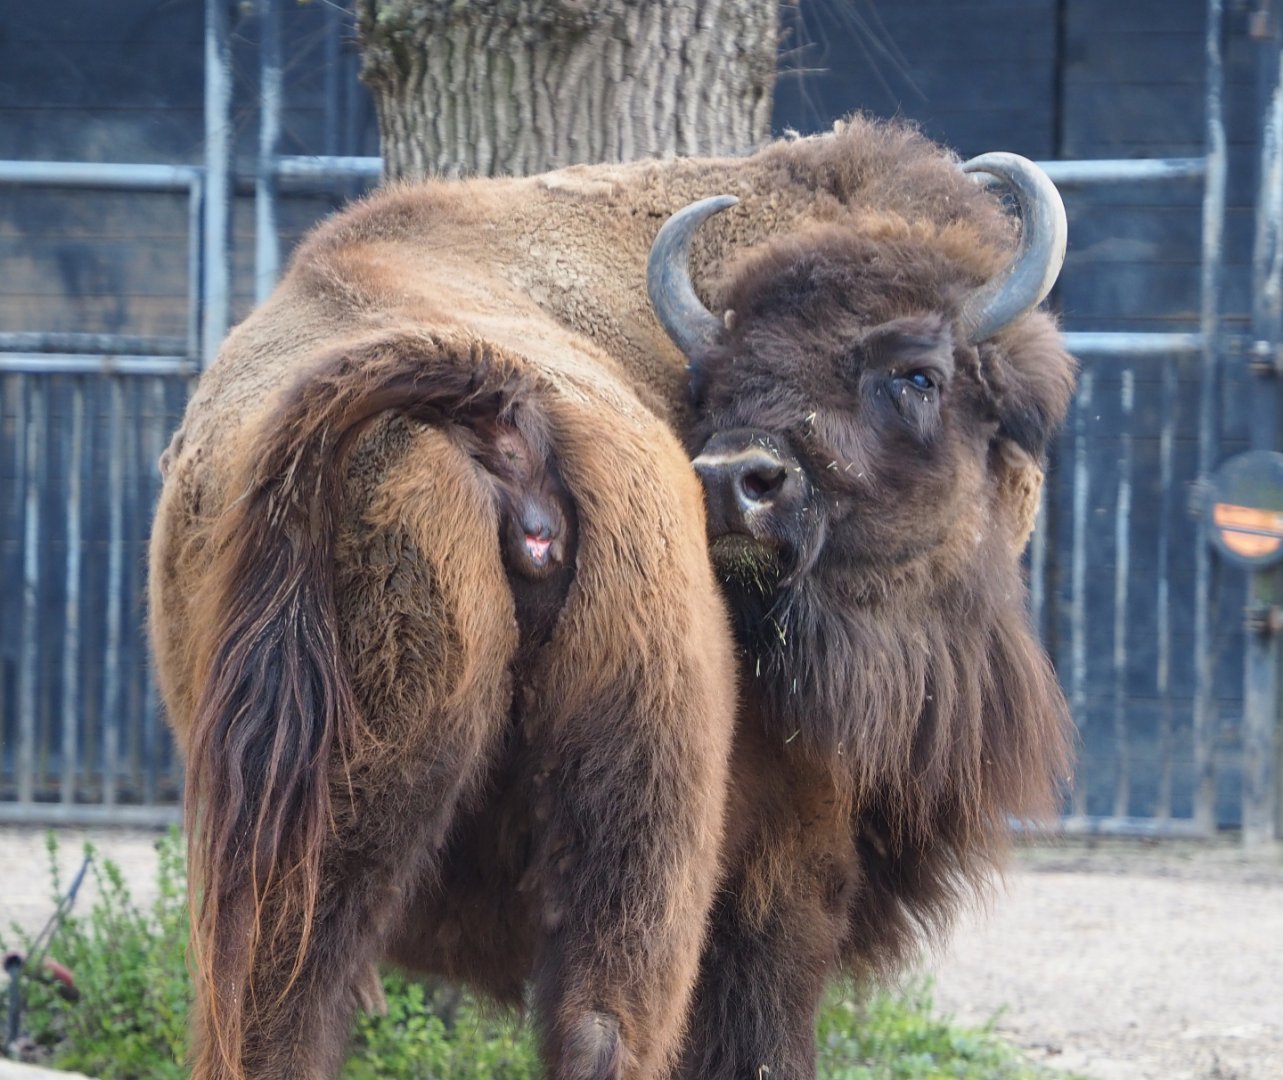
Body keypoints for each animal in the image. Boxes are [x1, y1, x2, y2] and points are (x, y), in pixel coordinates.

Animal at [148, 116, 1073, 1080]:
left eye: (917, 375)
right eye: (708, 383)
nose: (737, 480)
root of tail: (492, 398)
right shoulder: (788, 859)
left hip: (298, 816)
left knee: (275, 1009)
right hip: (643, 820)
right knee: (604, 1022)